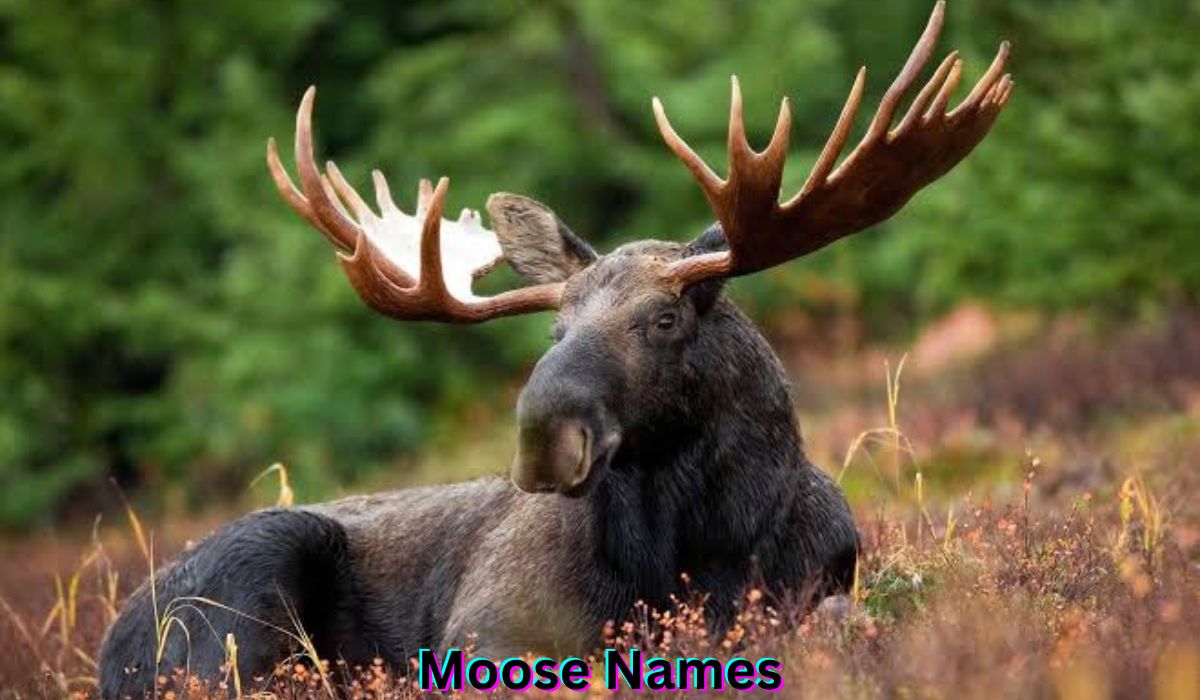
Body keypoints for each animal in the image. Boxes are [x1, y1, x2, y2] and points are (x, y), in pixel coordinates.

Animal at [98, 3, 1011, 696]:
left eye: (664, 319)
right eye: (555, 330)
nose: (544, 435)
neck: (703, 549)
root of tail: (110, 646)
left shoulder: (822, 585)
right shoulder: (485, 630)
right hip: (247, 585)